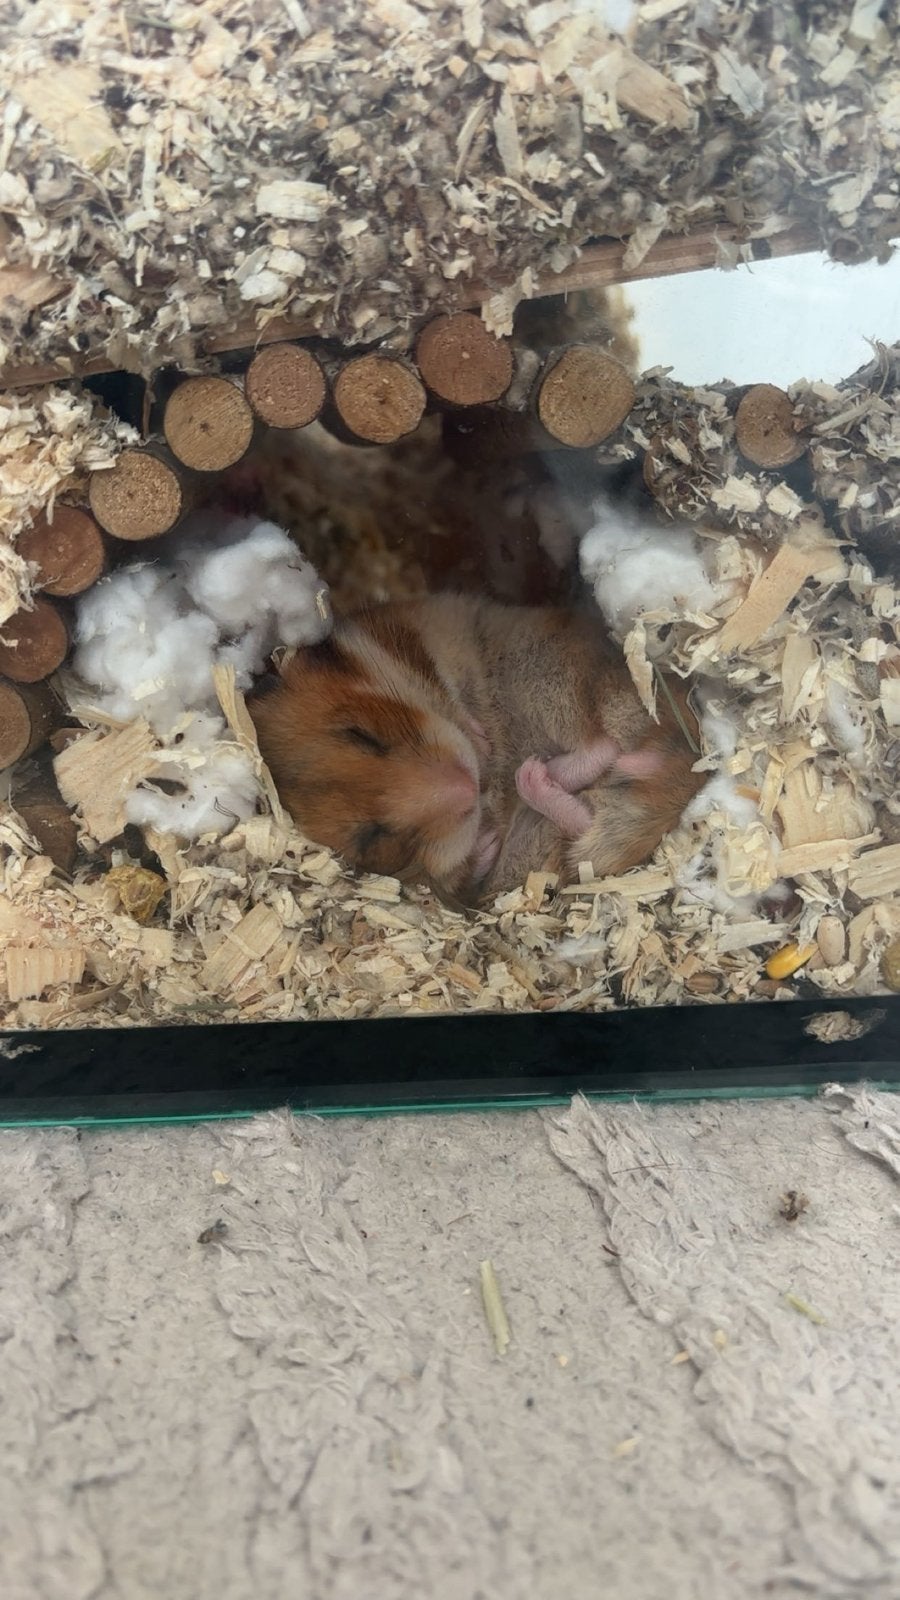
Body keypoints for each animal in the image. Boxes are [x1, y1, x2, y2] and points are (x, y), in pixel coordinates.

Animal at [248, 593, 704, 902]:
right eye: (373, 839)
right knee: (584, 816)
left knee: (602, 744)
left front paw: (481, 741)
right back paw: (536, 778)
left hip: (549, 675)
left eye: (361, 734)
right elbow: (458, 873)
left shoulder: (408, 637)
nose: (468, 786)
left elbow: (448, 695)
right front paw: (483, 842)